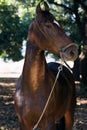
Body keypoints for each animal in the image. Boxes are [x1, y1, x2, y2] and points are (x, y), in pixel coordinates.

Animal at [14, 2, 78, 130]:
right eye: (48, 25)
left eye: (60, 24)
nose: (73, 51)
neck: (32, 89)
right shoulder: (23, 124)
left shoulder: (49, 123)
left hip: (69, 115)